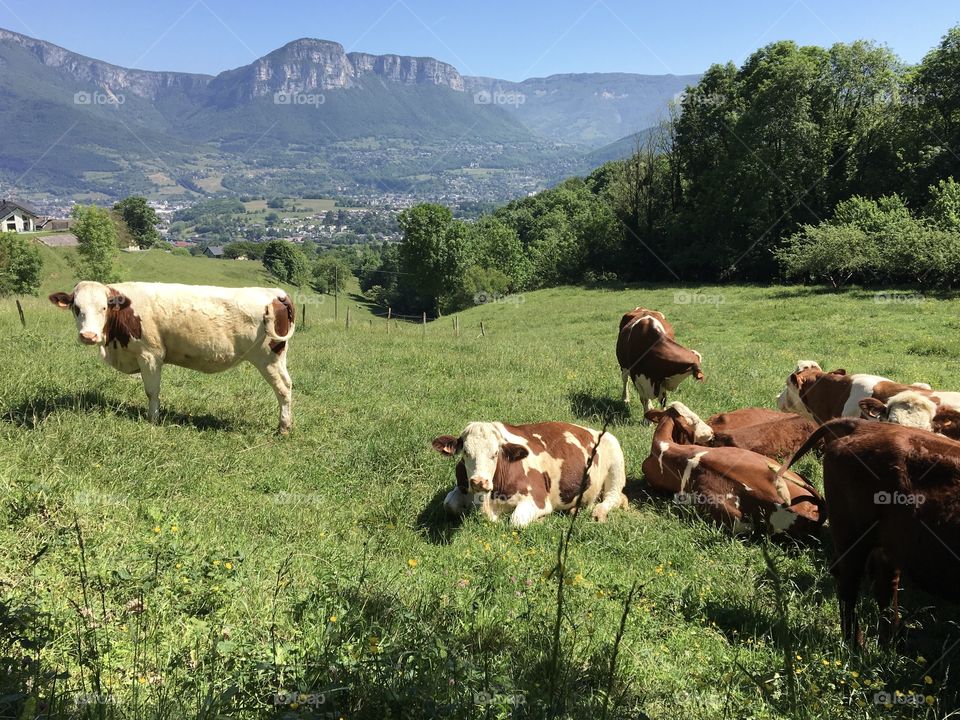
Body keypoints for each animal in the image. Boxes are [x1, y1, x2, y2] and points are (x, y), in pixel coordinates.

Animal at [49, 281, 295, 433]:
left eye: (103, 308)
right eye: (76, 308)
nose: (88, 335)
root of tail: (276, 293)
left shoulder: (150, 355)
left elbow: (152, 391)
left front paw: (153, 419)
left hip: (268, 358)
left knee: (283, 389)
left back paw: (283, 428)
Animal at [431, 421, 627, 528]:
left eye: (495, 453)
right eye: (465, 452)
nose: (479, 482)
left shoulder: (538, 499)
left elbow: (516, 520)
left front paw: (542, 519)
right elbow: (448, 504)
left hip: (616, 459)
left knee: (613, 497)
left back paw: (599, 512)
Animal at [773, 419, 960, 645]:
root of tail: (863, 425)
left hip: (889, 546)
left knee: (884, 585)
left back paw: (891, 642)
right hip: (853, 538)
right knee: (849, 583)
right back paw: (856, 645)